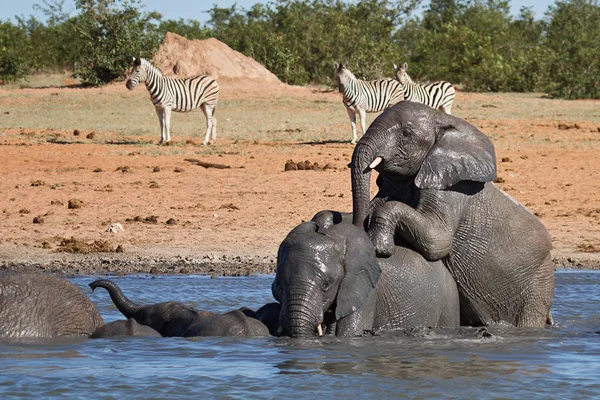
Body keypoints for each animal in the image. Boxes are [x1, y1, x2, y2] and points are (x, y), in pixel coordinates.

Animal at [350, 101, 556, 328]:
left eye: (406, 134)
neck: (441, 120)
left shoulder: (452, 190)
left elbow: (437, 241)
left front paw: (380, 247)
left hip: (537, 286)